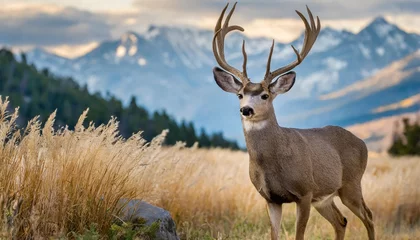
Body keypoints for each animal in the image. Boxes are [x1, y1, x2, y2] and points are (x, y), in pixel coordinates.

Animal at [212, 2, 376, 240]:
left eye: (265, 95)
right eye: (240, 95)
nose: (246, 109)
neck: (273, 162)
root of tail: (362, 143)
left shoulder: (305, 192)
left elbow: (299, 234)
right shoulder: (271, 198)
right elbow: (274, 234)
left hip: (351, 184)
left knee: (368, 216)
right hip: (325, 197)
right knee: (341, 221)